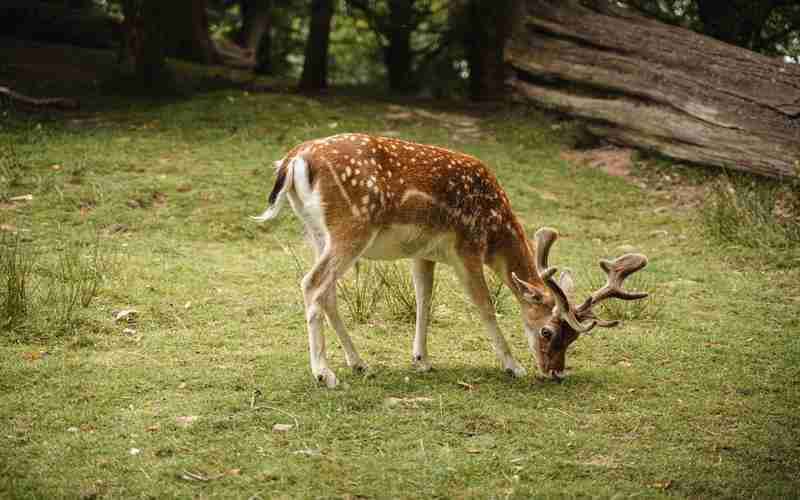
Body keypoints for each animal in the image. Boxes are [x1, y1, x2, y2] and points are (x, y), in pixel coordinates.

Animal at [252, 133, 648, 386]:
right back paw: (325, 373)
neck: (495, 232)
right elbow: (485, 305)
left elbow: (423, 300)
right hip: (352, 227)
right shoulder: (466, 248)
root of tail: (294, 160)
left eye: (573, 338)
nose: (554, 371)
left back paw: (360, 363)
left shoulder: (423, 253)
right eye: (548, 331)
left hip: (317, 233)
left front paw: (422, 360)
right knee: (312, 283)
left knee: (327, 292)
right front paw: (513, 366)